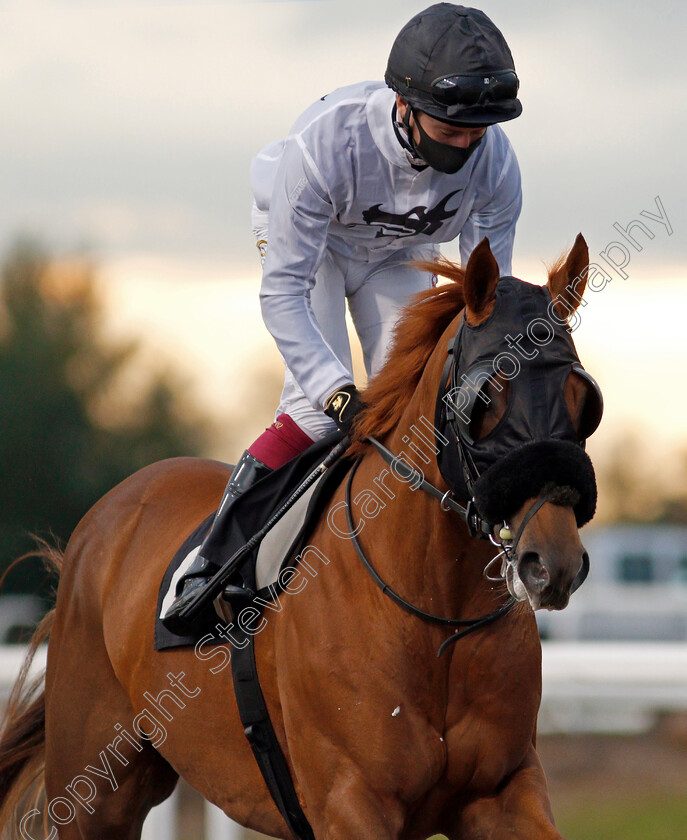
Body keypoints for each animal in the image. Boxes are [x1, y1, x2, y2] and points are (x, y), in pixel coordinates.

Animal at [0, 231, 600, 840]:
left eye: (584, 401)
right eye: (487, 397)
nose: (553, 563)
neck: (436, 611)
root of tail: (104, 519)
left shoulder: (503, 790)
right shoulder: (349, 802)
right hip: (94, 790)